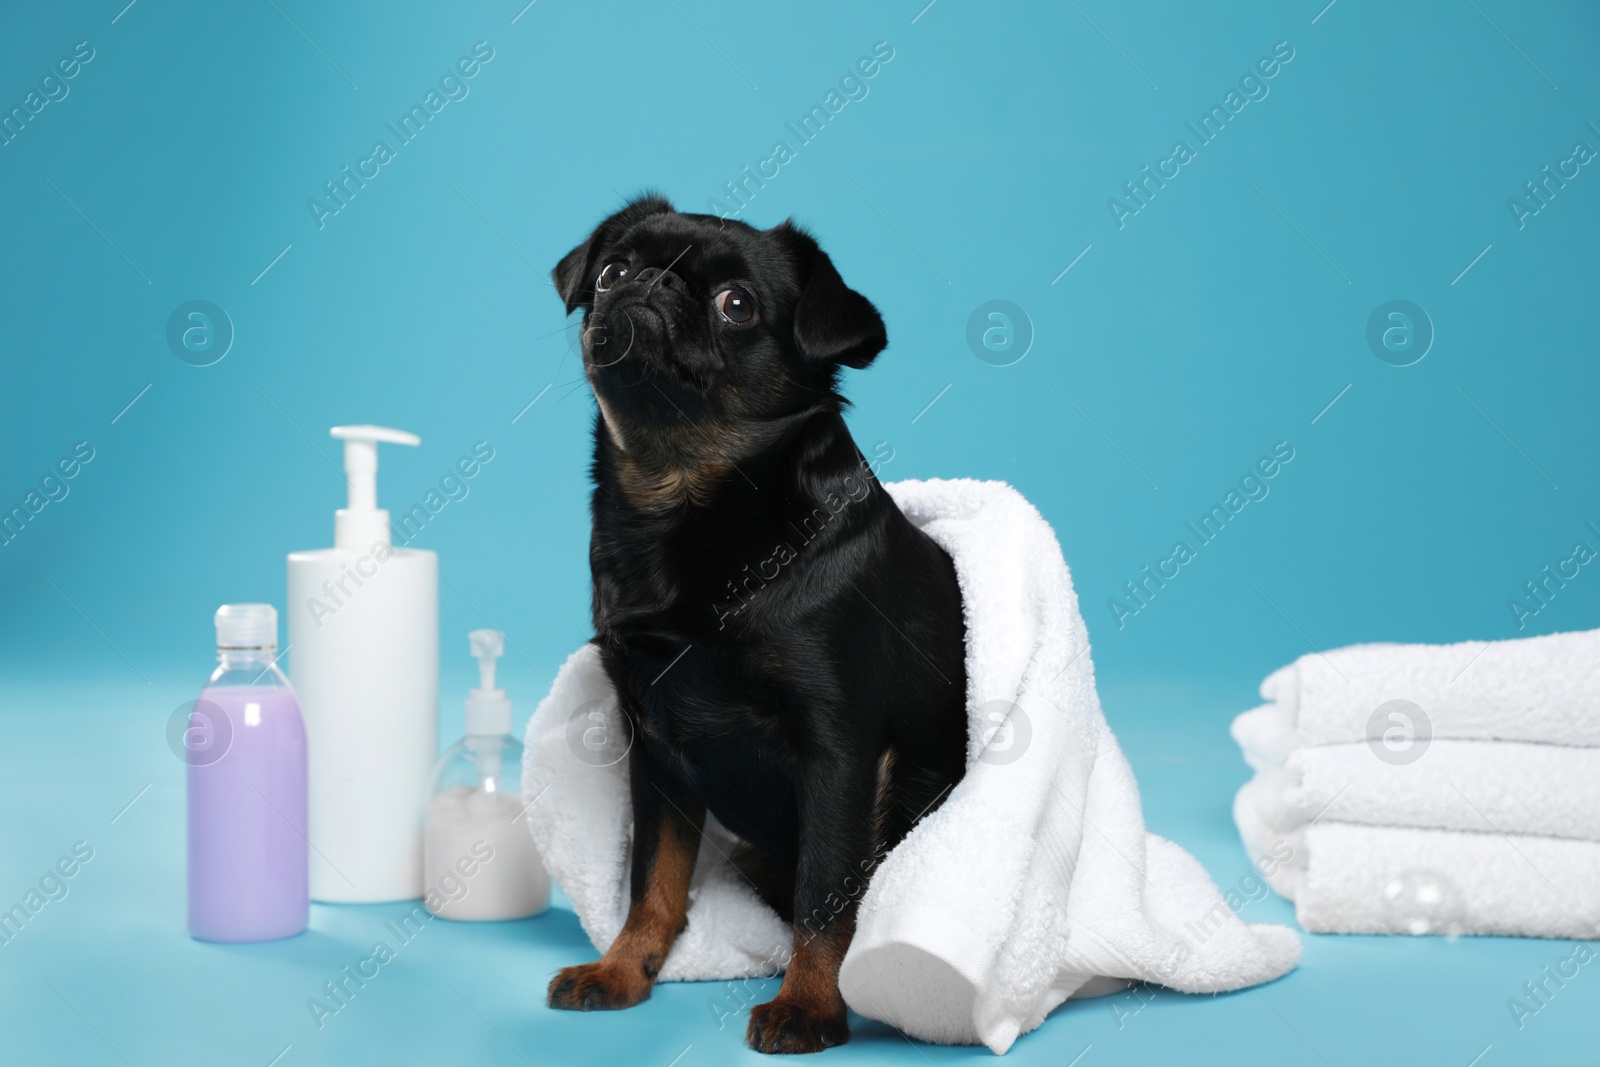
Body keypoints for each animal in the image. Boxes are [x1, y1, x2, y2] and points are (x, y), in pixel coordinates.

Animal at [524, 479, 1299, 1055]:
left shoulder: (841, 755)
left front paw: (809, 1002)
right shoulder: (655, 751)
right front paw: (624, 965)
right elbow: (652, 877)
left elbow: (826, 888)